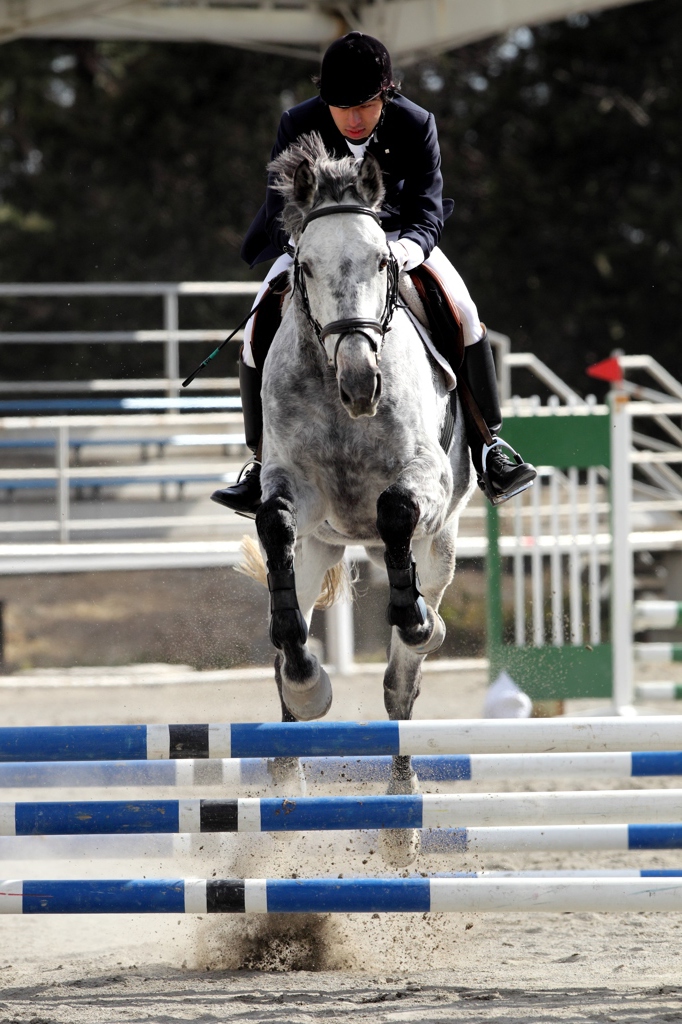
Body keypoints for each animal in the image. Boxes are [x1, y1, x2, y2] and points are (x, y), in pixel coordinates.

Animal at [253, 130, 473, 856]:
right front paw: (309, 681)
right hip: (320, 549)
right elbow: (274, 530)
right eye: (306, 266)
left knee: (401, 685)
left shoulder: (426, 484)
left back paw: (400, 816)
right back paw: (285, 787)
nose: (360, 383)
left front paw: (413, 617)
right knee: (286, 644)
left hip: (443, 546)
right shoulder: (291, 491)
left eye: (382, 261)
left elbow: (396, 509)